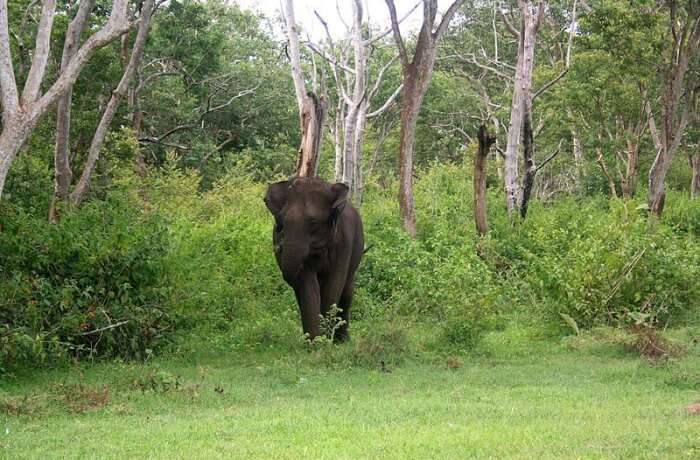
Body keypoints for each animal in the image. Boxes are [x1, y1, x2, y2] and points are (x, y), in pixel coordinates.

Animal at [266, 176, 366, 342]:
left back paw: (342, 340)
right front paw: (315, 341)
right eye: (281, 220)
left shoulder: (344, 241)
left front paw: (326, 338)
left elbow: (334, 284)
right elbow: (308, 287)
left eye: (313, 221)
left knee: (347, 290)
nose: (279, 246)